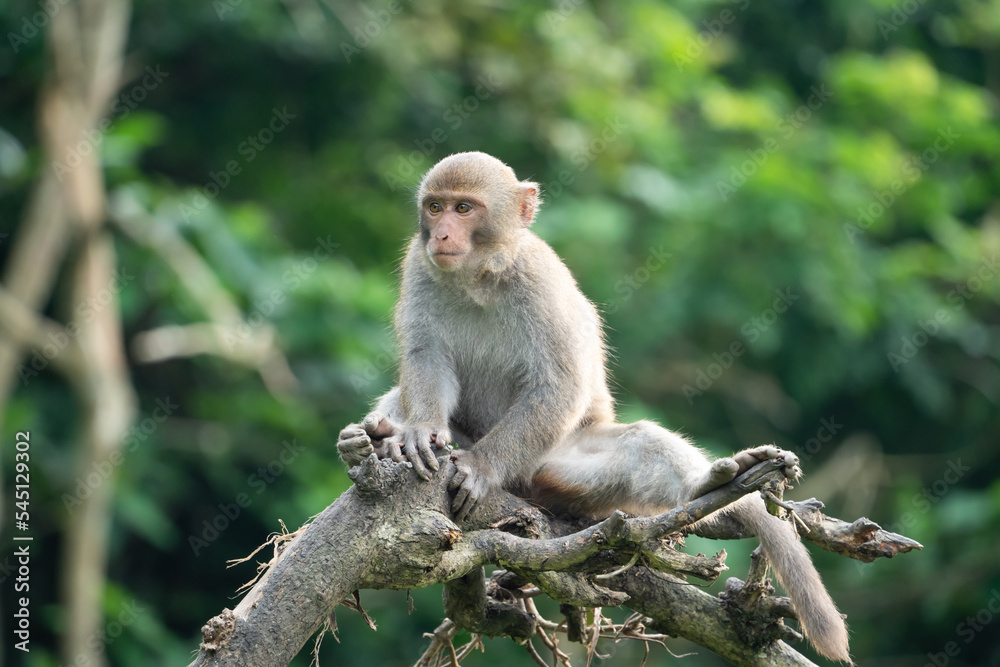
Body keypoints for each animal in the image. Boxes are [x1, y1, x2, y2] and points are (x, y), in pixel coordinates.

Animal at [338, 153, 852, 664]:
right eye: (435, 206)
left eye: (464, 208)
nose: (441, 234)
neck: (479, 278)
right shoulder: (419, 266)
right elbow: (425, 358)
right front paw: (414, 435)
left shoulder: (539, 280)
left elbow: (560, 384)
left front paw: (482, 467)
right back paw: (375, 440)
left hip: (561, 472)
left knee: (638, 446)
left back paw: (706, 485)